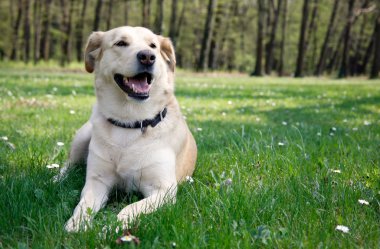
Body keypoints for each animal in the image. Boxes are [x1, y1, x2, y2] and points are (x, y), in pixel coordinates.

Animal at [58, 26, 199, 232]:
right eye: (121, 43)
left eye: (153, 46)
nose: (147, 57)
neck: (130, 122)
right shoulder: (97, 181)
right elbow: (84, 205)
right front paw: (76, 224)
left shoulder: (163, 190)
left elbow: (130, 208)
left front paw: (110, 228)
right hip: (83, 135)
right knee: (68, 163)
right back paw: (56, 179)